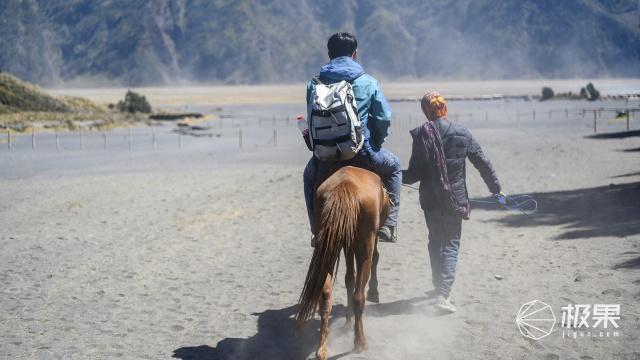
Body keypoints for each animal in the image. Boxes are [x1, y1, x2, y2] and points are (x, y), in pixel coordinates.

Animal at [294, 166, 388, 360]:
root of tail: (345, 186)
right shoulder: (362, 243)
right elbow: (371, 263)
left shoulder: (347, 243)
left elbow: (348, 278)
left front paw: (347, 321)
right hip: (364, 243)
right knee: (359, 295)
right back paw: (360, 342)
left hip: (329, 246)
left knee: (325, 295)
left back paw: (321, 349)